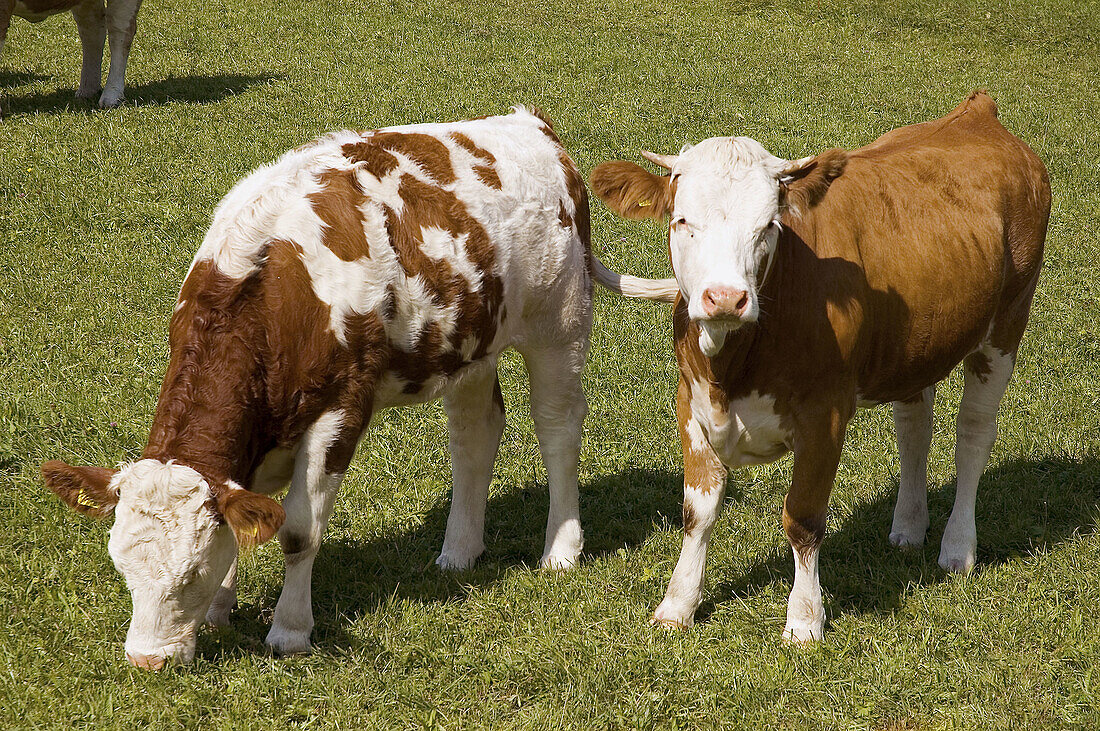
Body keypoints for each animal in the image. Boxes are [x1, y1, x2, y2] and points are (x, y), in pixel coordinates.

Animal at [45, 107, 602, 668]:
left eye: (192, 573)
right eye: (120, 566)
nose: (147, 660)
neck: (273, 295)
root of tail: (529, 123)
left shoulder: (338, 412)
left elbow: (297, 531)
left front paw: (289, 630)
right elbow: (244, 519)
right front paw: (222, 611)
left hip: (560, 323)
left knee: (558, 429)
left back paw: (560, 551)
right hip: (471, 344)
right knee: (475, 436)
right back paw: (459, 552)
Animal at [589, 91, 1051, 637]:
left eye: (767, 226)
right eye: (682, 222)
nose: (725, 298)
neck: (734, 366)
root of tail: (978, 114)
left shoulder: (824, 416)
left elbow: (804, 517)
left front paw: (805, 618)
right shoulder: (691, 402)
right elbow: (696, 511)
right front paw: (678, 604)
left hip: (1007, 323)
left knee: (974, 434)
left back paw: (957, 547)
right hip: (917, 343)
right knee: (914, 427)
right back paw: (908, 526)